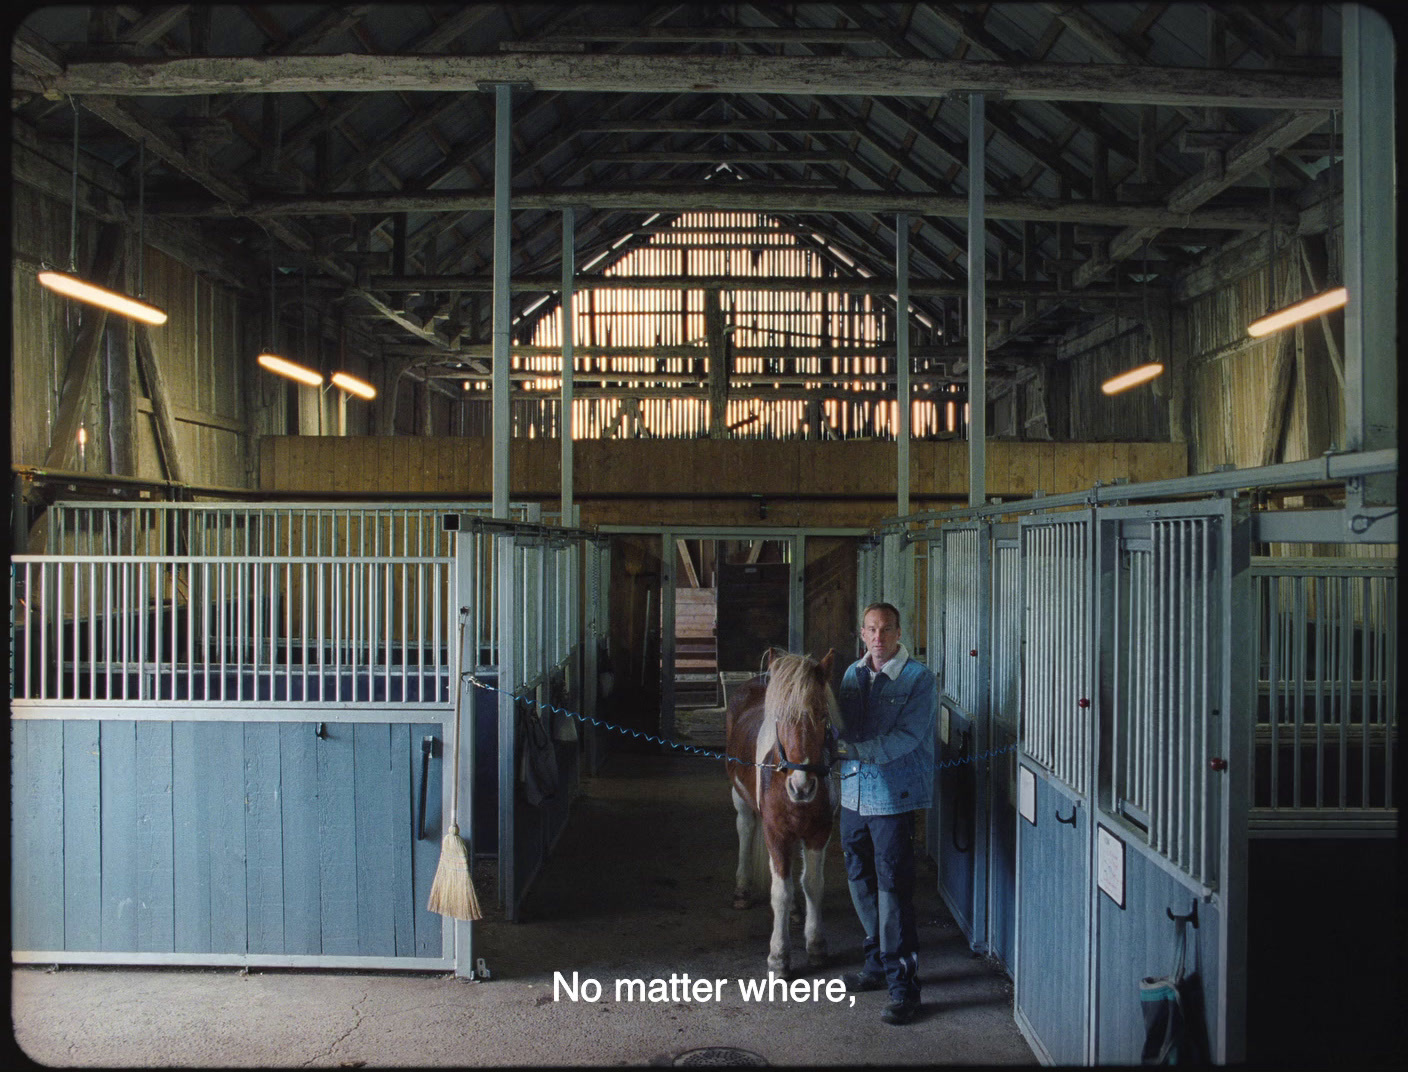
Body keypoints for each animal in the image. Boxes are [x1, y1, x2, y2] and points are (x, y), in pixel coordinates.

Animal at [726, 647, 833, 974]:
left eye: (822, 715)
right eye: (780, 717)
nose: (802, 787)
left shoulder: (819, 832)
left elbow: (813, 884)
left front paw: (816, 944)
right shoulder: (776, 833)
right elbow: (780, 892)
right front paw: (779, 956)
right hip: (739, 797)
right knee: (745, 829)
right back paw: (742, 890)